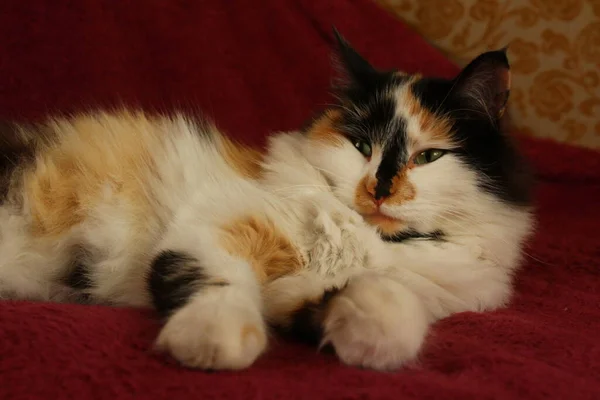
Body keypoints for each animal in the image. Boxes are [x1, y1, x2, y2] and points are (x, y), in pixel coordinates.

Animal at [0, 31, 536, 372]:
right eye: (362, 145)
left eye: (428, 156)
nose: (379, 189)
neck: (361, 239)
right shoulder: (219, 227)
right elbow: (219, 283)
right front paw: (214, 341)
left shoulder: (307, 289)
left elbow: (391, 312)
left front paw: (365, 329)